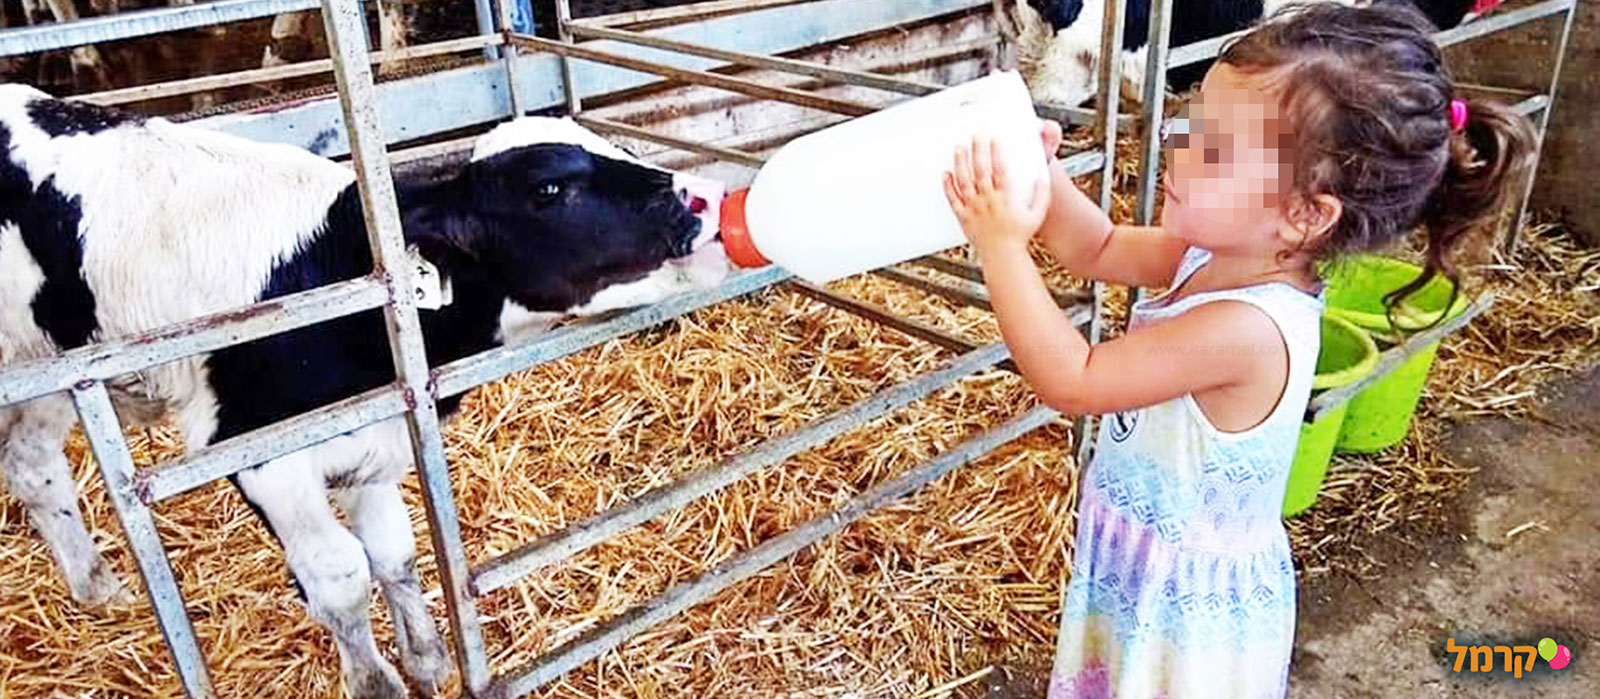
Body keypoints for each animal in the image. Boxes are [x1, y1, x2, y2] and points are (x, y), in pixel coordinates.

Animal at [0, 84, 729, 698]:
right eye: (549, 189)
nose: (704, 199)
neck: (346, 281)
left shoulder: (379, 436)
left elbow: (393, 552)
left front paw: (429, 660)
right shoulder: (262, 458)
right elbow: (341, 577)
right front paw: (377, 681)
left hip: (46, 375)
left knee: (33, 467)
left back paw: (97, 586)